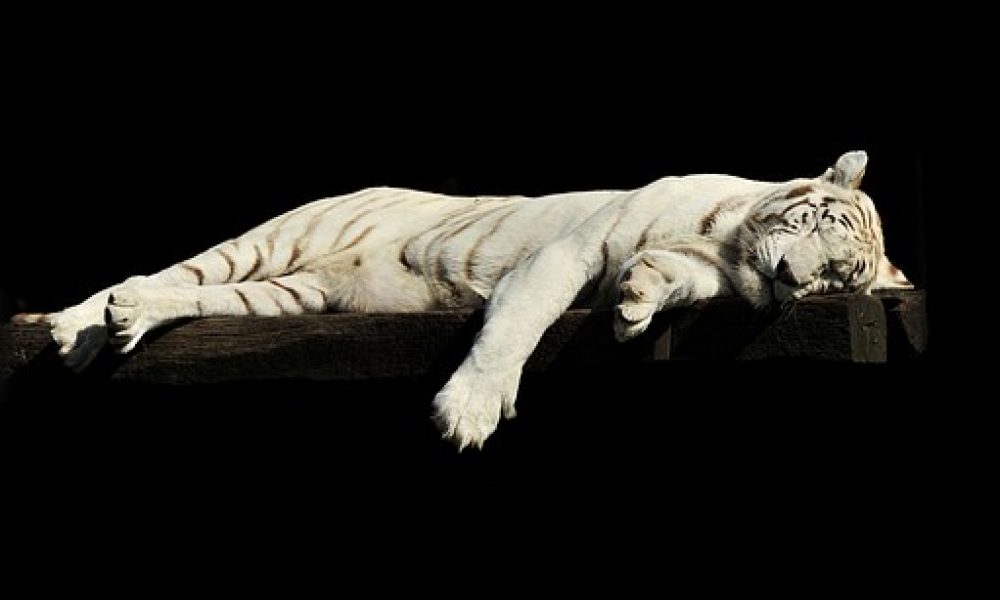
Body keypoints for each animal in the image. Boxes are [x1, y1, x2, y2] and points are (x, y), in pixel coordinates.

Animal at [17, 150, 912, 449]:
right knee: (178, 271)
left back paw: (125, 321)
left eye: (839, 277)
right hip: (274, 242)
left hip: (289, 294)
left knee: (199, 300)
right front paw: (470, 412)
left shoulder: (712, 272)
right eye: (817, 225)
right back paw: (78, 324)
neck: (727, 246)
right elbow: (516, 325)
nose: (793, 278)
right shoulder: (567, 251)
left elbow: (665, 276)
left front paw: (634, 301)